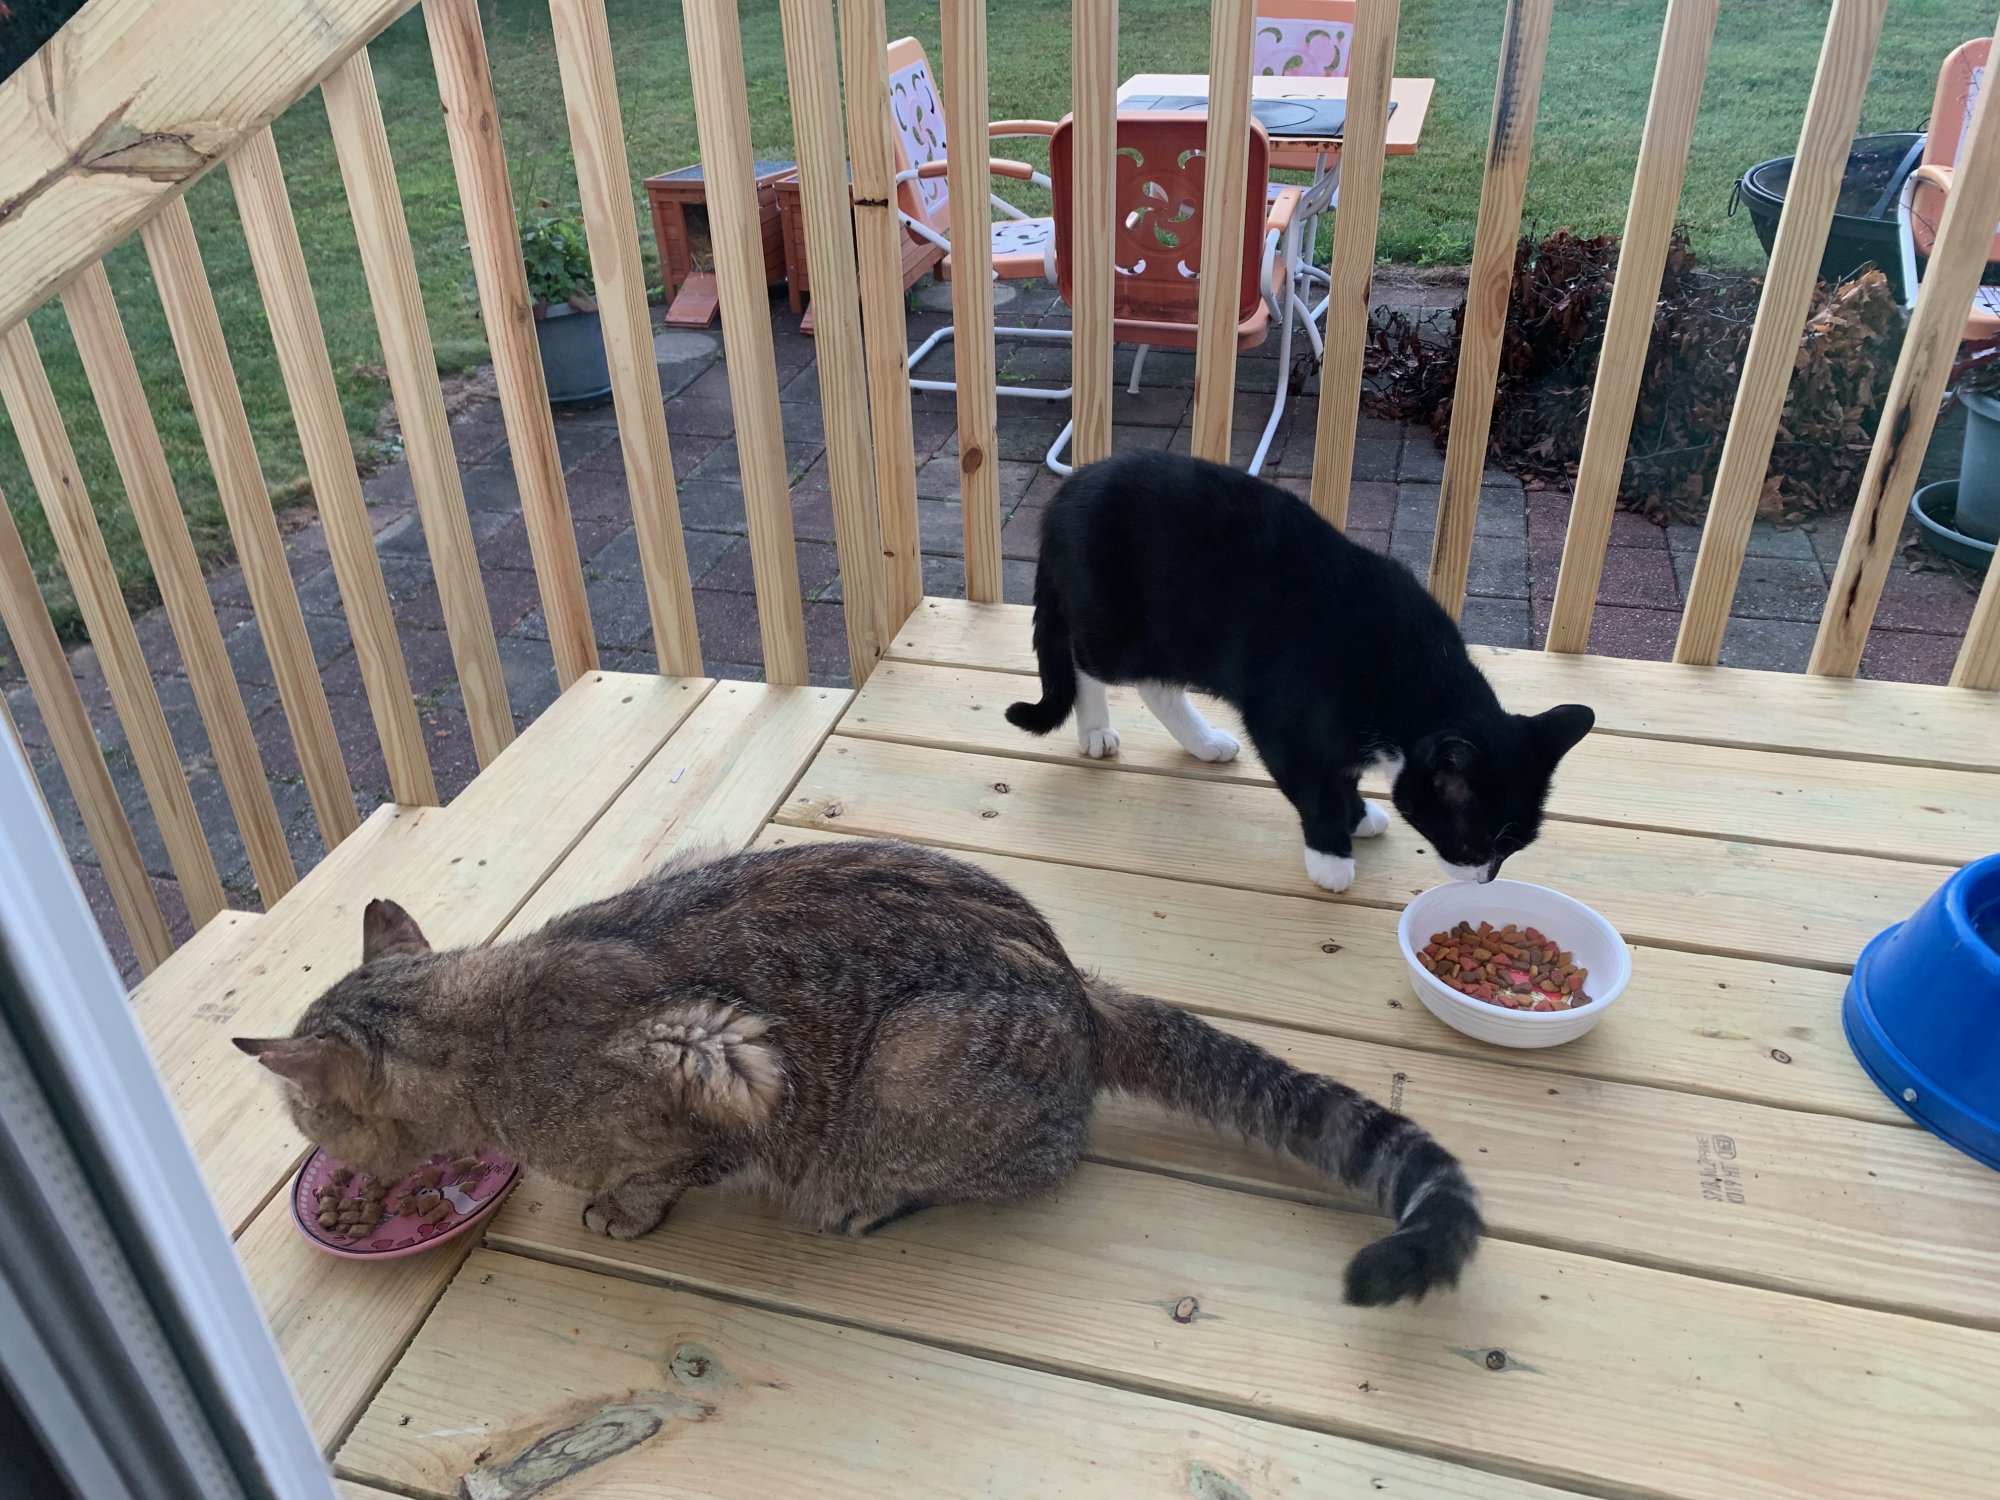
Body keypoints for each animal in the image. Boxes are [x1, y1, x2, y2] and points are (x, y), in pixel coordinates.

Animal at [238, 848, 1488, 1304]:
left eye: (303, 1117)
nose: (312, 1145)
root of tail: (1073, 985)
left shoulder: (719, 1053)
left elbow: (669, 1164)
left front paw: (625, 1209)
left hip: (913, 1059)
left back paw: (867, 1200)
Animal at [1008, 450, 1600, 892]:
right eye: (1474, 844)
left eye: (1513, 849)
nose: (1485, 879)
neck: (1411, 679)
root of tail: (1071, 488)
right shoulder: (1284, 724)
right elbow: (1314, 786)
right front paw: (1331, 853)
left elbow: (1341, 774)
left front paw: (1357, 814)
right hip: (1120, 627)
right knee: (1085, 657)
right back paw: (1096, 729)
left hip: (1174, 637)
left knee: (1158, 686)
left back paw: (1204, 742)